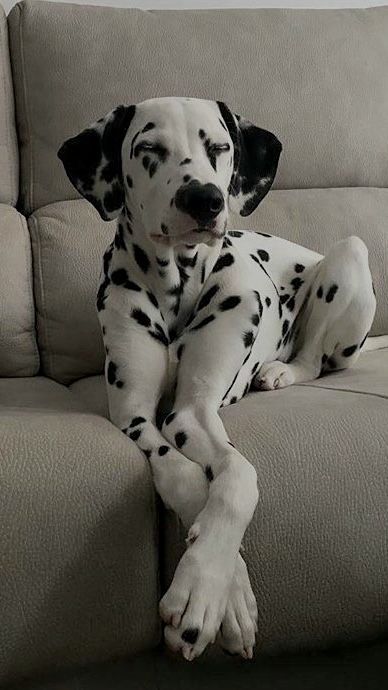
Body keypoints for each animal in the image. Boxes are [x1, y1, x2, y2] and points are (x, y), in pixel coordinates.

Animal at [57, 97, 382, 660]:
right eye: (149, 148)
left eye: (220, 147)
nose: (204, 199)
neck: (177, 284)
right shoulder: (138, 418)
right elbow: (184, 474)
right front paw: (220, 592)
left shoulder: (197, 408)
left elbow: (238, 477)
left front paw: (207, 585)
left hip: (349, 255)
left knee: (316, 358)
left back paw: (279, 370)